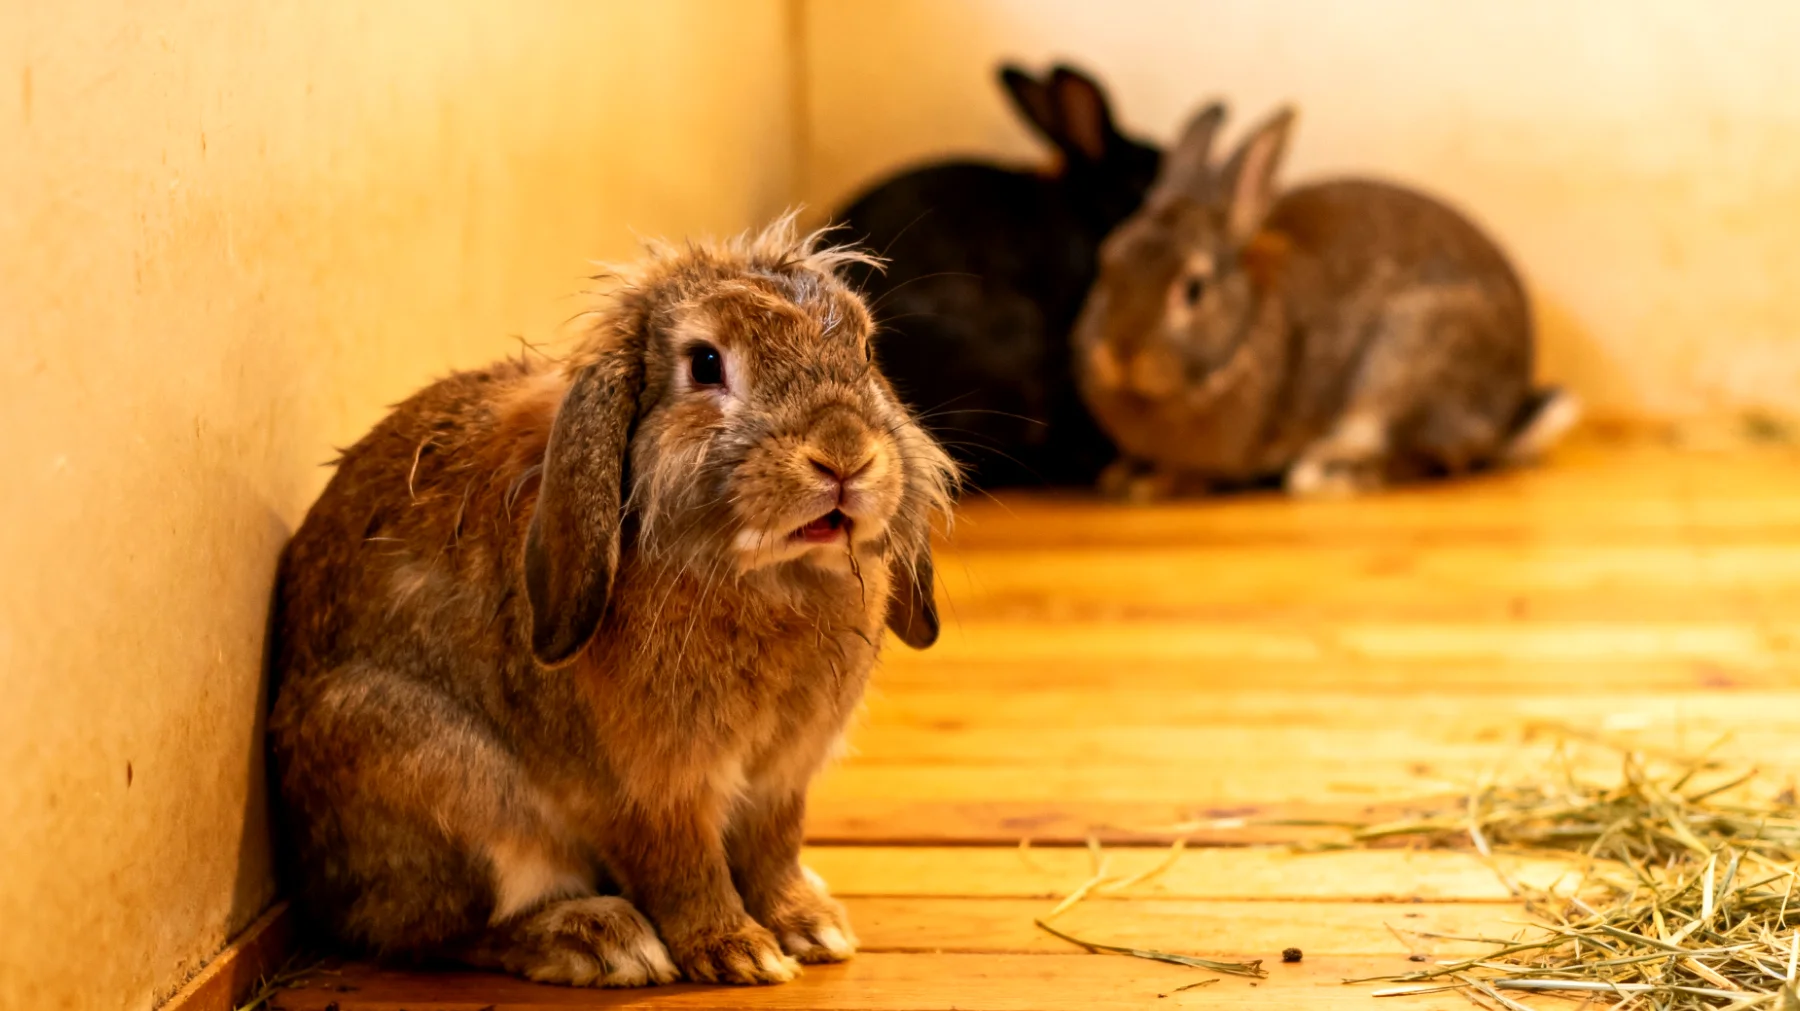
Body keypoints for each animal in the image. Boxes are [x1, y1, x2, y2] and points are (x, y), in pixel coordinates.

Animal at [266, 217, 956, 988]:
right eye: (706, 364)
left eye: (864, 350)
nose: (843, 454)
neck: (768, 575)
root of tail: (313, 878)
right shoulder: (648, 789)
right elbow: (681, 869)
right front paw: (736, 951)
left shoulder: (781, 780)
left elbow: (774, 851)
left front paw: (810, 927)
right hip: (439, 786)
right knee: (446, 929)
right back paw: (600, 940)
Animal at [1072, 102, 1581, 500]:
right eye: (1105, 264)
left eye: (1194, 288)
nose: (1119, 353)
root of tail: (1507, 418)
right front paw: (1124, 477)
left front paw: (1156, 482)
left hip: (1408, 372)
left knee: (1429, 457)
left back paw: (1332, 473)